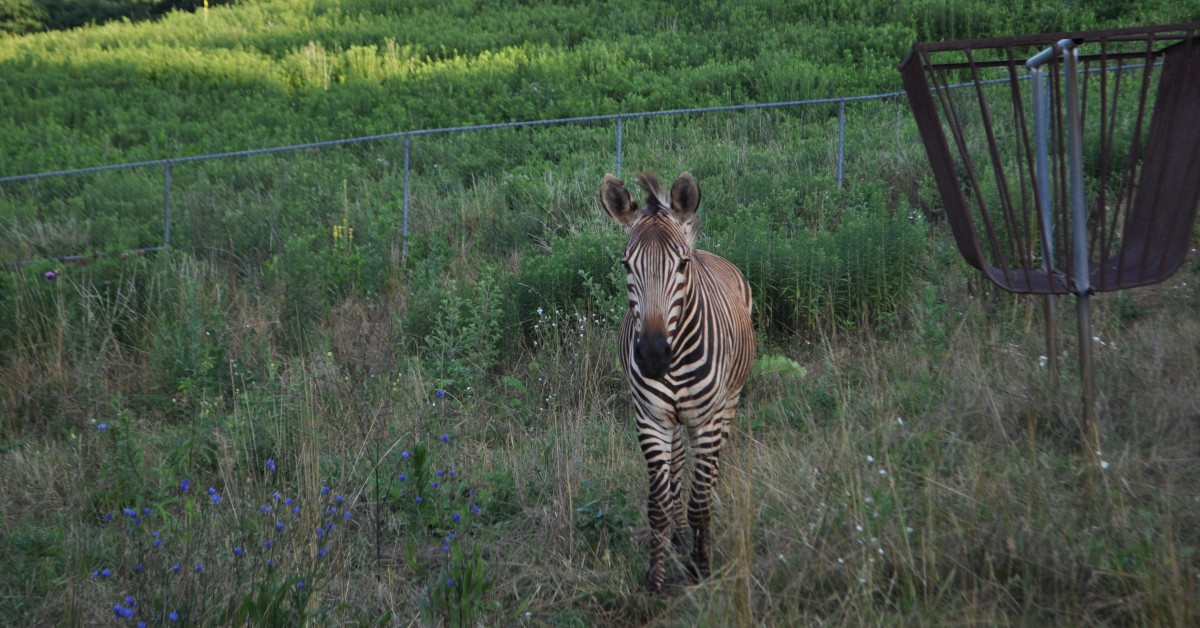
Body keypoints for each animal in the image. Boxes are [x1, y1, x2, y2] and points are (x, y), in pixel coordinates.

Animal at [597, 170, 753, 590]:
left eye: (681, 265)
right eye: (624, 265)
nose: (652, 356)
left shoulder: (707, 419)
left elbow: (699, 502)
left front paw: (702, 567)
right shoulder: (650, 419)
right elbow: (659, 503)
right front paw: (657, 577)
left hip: (728, 403)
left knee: (707, 473)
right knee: (679, 468)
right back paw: (680, 538)